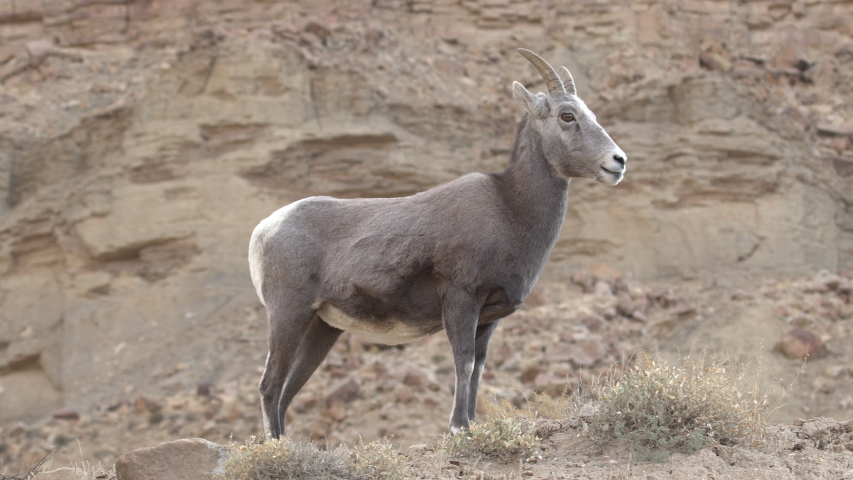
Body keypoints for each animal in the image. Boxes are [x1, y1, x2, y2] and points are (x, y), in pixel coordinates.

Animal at [248, 49, 627, 438]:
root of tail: (265, 229)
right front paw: (459, 427)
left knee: (288, 390)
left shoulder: (488, 318)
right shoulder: (461, 298)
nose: (618, 161)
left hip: (322, 327)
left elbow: (478, 367)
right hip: (288, 315)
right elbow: (463, 361)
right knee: (269, 385)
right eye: (567, 115)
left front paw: (472, 424)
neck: (511, 209)